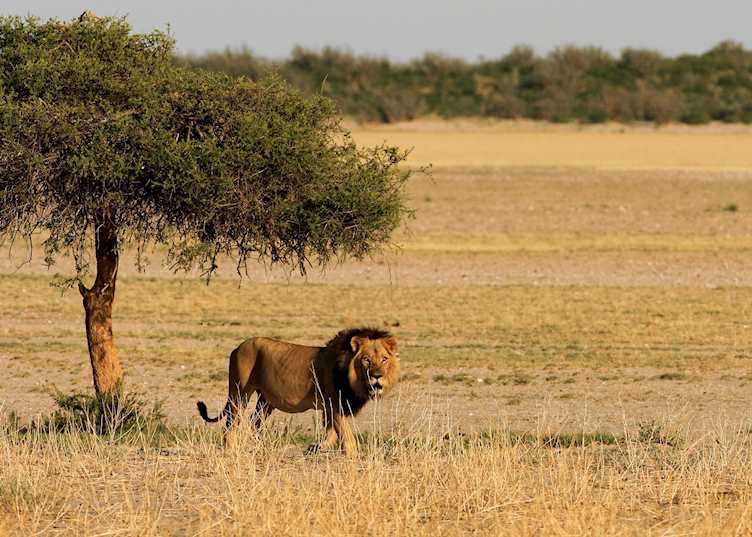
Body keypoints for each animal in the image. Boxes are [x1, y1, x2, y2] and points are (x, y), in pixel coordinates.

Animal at [197, 328, 399, 454]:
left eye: (384, 359)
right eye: (366, 359)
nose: (377, 376)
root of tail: (238, 347)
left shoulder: (331, 407)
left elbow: (331, 432)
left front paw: (317, 447)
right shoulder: (334, 404)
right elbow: (346, 436)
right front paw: (350, 455)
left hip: (266, 400)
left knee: (255, 422)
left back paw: (263, 447)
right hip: (240, 393)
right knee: (231, 423)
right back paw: (230, 449)